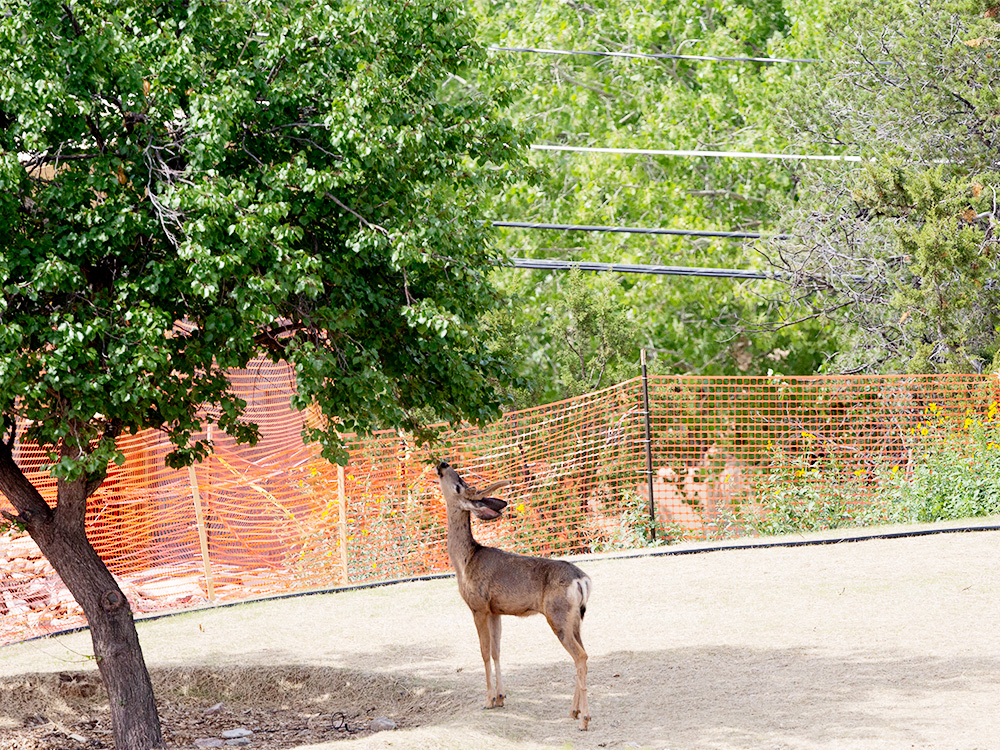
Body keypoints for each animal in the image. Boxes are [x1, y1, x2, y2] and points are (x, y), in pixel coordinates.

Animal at [435, 461, 592, 731]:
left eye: (458, 484)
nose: (443, 464)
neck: (465, 561)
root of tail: (581, 580)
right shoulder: (495, 610)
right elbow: (497, 651)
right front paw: (501, 698)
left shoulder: (478, 606)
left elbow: (484, 651)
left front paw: (488, 700)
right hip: (575, 619)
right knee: (582, 654)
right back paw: (573, 711)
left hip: (558, 615)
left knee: (580, 655)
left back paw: (584, 720)